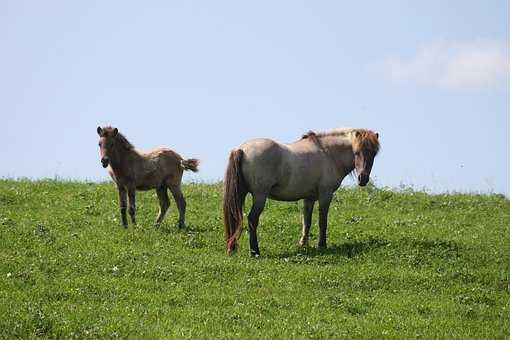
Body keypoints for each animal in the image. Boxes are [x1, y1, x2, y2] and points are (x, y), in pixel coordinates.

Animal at [223, 127, 378, 255]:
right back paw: (255, 251)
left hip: (241, 194)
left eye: (373, 154)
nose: (363, 179)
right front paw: (322, 245)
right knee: (252, 219)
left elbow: (306, 221)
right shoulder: (325, 194)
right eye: (356, 152)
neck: (328, 154)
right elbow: (322, 221)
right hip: (260, 196)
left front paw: (303, 244)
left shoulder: (309, 198)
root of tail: (242, 149)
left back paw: (233, 247)